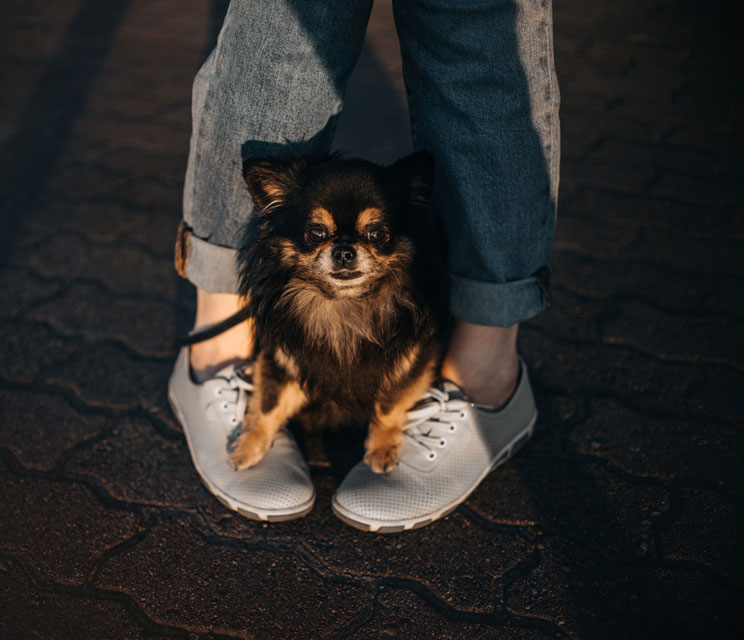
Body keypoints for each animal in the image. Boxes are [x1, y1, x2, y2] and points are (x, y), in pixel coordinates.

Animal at [231, 152, 448, 476]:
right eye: (316, 233)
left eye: (376, 233)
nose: (344, 250)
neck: (346, 306)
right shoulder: (283, 359)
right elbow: (269, 404)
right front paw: (248, 447)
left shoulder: (412, 359)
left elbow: (389, 406)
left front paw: (382, 447)